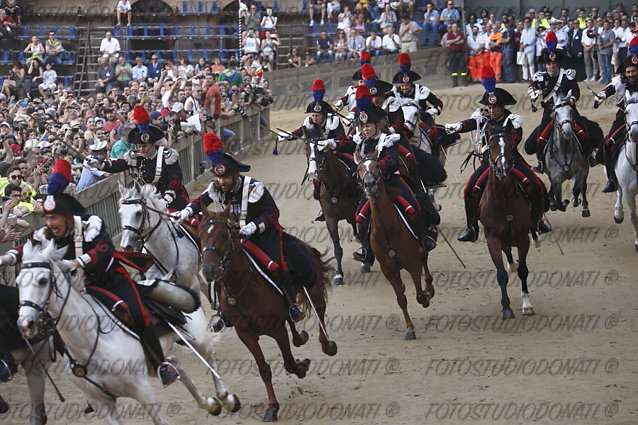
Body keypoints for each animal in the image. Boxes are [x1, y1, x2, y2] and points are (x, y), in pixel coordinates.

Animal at [15, 240, 239, 422]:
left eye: (43, 280)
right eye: (17, 283)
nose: (25, 324)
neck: (89, 344)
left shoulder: (143, 391)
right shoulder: (102, 404)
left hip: (198, 339)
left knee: (211, 360)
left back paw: (226, 399)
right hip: (154, 364)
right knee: (175, 364)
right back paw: (209, 404)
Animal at [199, 206, 340, 420]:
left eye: (224, 234)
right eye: (200, 235)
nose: (208, 269)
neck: (242, 285)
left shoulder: (276, 328)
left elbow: (289, 362)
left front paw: (301, 368)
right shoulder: (244, 332)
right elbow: (264, 368)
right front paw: (272, 406)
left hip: (313, 286)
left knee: (320, 311)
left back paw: (327, 344)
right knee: (294, 324)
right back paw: (301, 336)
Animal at [352, 147, 438, 340]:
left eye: (377, 165)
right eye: (359, 169)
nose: (369, 184)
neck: (388, 230)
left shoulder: (412, 264)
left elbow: (419, 295)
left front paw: (426, 298)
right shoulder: (388, 270)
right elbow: (401, 298)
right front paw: (409, 329)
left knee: (425, 257)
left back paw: (429, 288)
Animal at [482, 124, 536, 320]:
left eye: (511, 146)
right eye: (490, 147)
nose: (503, 171)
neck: (503, 201)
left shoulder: (522, 238)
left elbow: (523, 270)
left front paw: (527, 305)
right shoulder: (492, 240)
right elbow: (501, 275)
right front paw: (506, 308)